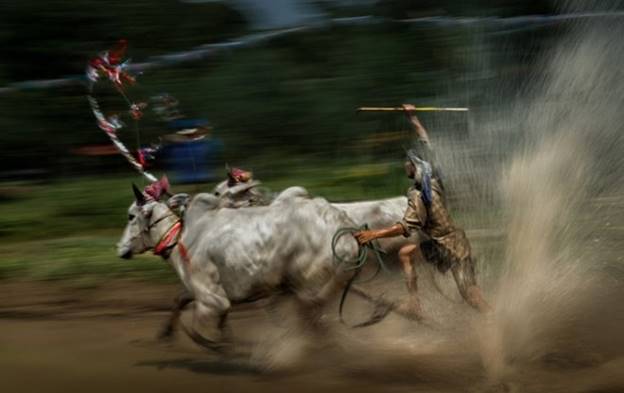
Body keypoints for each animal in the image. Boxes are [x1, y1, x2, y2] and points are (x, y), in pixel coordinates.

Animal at [117, 182, 410, 348]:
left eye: (131, 215)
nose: (120, 249)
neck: (185, 238)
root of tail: (346, 227)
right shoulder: (198, 291)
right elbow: (180, 302)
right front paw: (165, 335)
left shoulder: (212, 297)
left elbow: (203, 326)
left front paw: (218, 345)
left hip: (307, 283)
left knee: (313, 316)